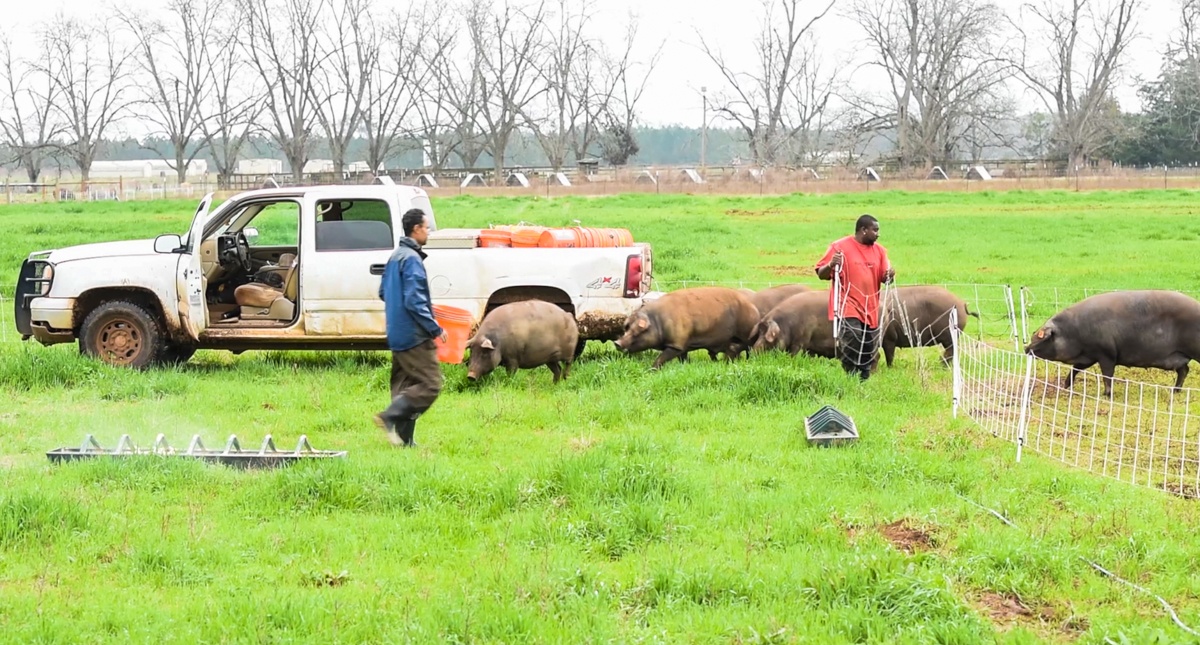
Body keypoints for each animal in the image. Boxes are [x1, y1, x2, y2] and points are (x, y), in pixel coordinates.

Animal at [619, 285, 758, 369]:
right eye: (627, 328)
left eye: (637, 331)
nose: (617, 343)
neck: (658, 322)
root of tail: (753, 308)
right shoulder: (682, 345)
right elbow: (683, 358)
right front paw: (685, 366)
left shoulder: (676, 344)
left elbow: (661, 358)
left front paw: (651, 369)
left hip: (747, 334)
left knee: (747, 348)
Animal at [1022, 288, 1200, 393]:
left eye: (1041, 337)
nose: (1025, 348)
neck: (1073, 332)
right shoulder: (1089, 356)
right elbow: (1076, 368)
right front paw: (1065, 387)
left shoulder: (1106, 353)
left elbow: (1107, 375)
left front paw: (1106, 394)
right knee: (1184, 370)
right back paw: (1175, 391)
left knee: (1185, 370)